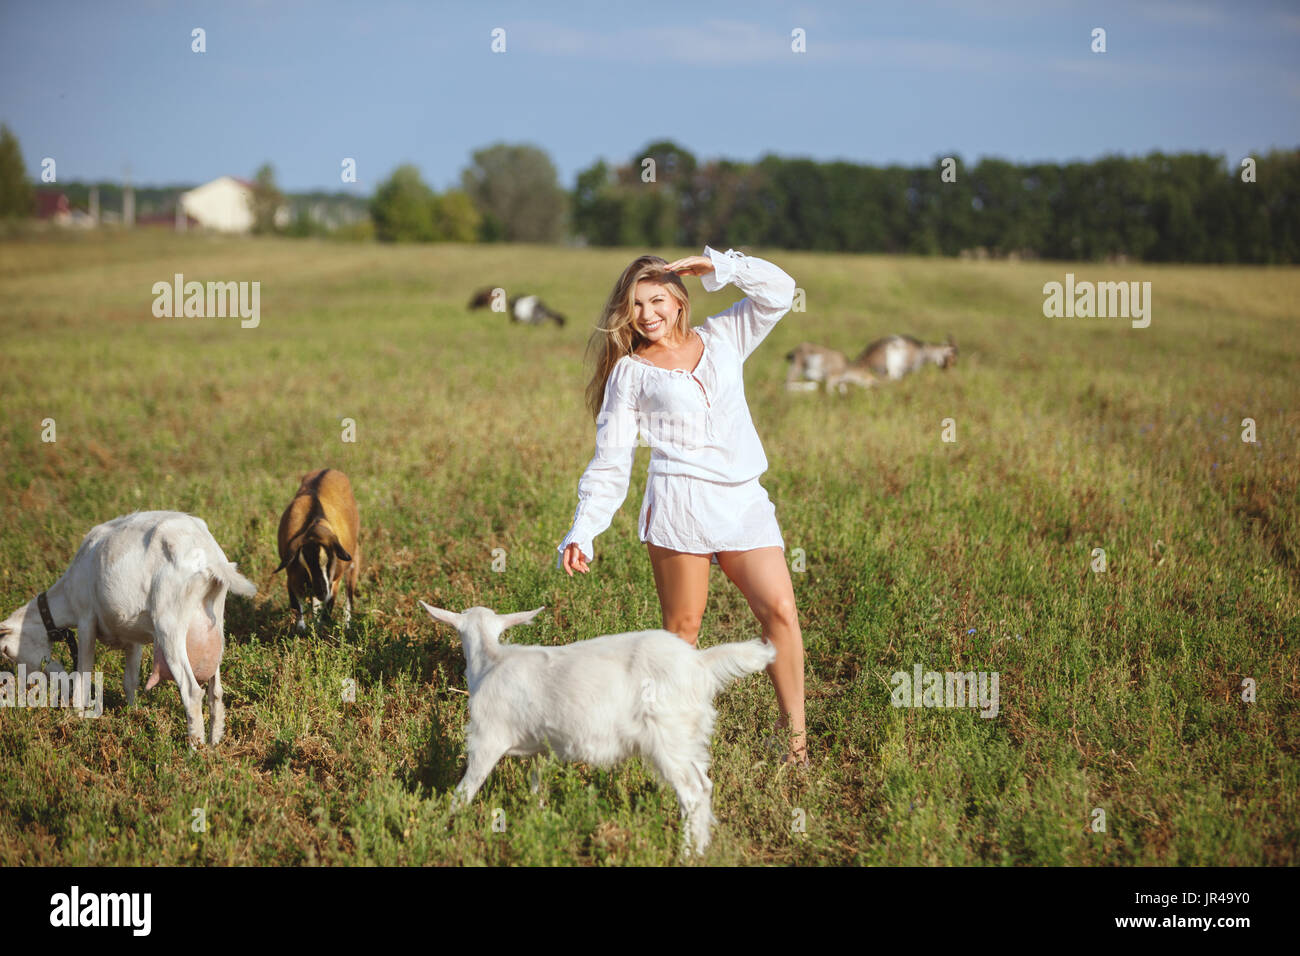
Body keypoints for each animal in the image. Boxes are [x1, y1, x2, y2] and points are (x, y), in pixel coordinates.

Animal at [0, 515, 254, 749]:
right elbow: (130, 680)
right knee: (216, 691)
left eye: (6, 650)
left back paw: (195, 750)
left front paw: (76, 719)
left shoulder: (86, 619)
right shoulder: (134, 638)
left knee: (192, 691)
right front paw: (133, 714)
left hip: (170, 624)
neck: (67, 596)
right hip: (214, 625)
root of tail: (209, 555)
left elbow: (84, 674)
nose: (26, 686)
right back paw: (213, 744)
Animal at [271, 468, 358, 632]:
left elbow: (327, 611)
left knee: (348, 595)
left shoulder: (334, 580)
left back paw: (347, 625)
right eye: (305, 561)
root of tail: (329, 469)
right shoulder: (292, 576)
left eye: (331, 559)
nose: (322, 591)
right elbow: (298, 610)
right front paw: (303, 629)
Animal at [421, 600, 774, 858]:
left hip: (668, 735)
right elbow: (536, 787)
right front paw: (538, 824)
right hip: (688, 735)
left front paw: (442, 830)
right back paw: (701, 849)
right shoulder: (540, 748)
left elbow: (464, 792)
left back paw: (685, 855)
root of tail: (699, 664)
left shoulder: (486, 739)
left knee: (692, 792)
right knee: (705, 784)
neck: (491, 662)